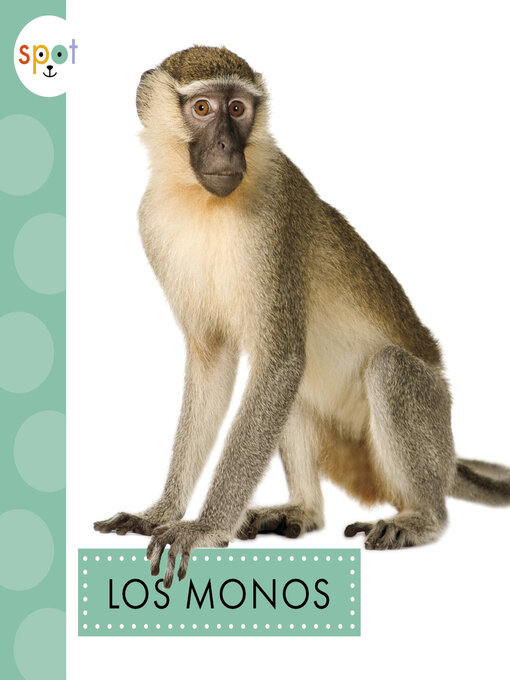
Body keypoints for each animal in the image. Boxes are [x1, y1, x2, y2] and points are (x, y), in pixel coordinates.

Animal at [94, 45, 510, 588]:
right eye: (203, 108)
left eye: (238, 109)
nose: (227, 146)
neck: (203, 202)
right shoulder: (151, 221)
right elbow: (215, 364)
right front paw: (161, 511)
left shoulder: (275, 216)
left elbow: (280, 360)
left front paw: (203, 528)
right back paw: (304, 509)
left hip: (429, 418)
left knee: (386, 369)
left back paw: (423, 518)